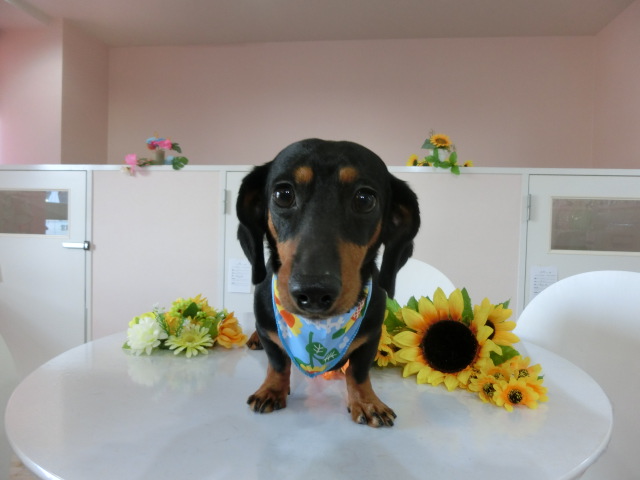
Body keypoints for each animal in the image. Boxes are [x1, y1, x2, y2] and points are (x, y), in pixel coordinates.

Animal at [236, 139, 420, 427]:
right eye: (283, 194)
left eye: (365, 199)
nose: (313, 292)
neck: (320, 326)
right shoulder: (268, 330)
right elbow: (277, 362)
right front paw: (272, 390)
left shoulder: (372, 337)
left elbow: (358, 371)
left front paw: (367, 402)